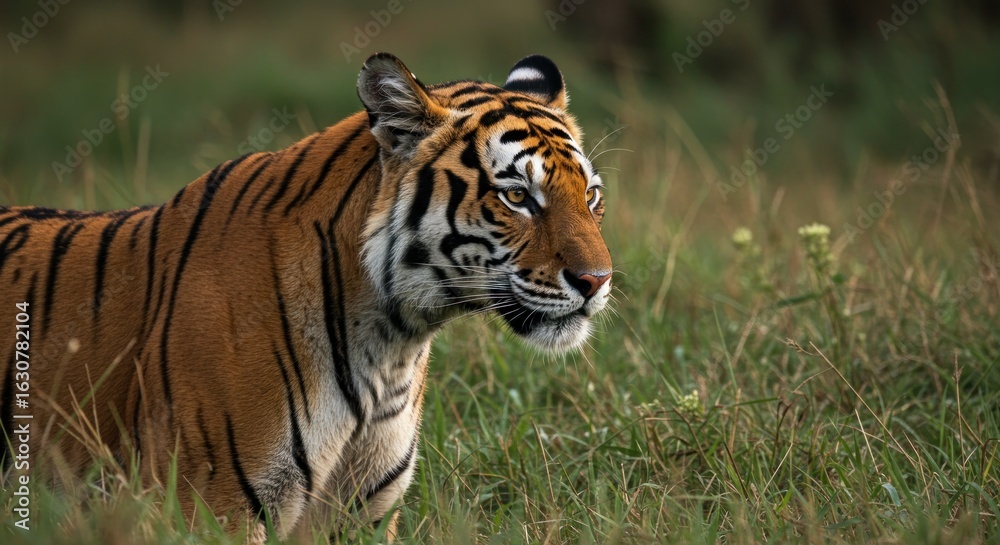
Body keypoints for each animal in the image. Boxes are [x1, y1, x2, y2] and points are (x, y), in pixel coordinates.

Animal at [0, 53, 613, 541]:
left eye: (590, 195)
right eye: (517, 197)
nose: (598, 280)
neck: (389, 345)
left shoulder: (358, 512)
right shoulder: (211, 505)